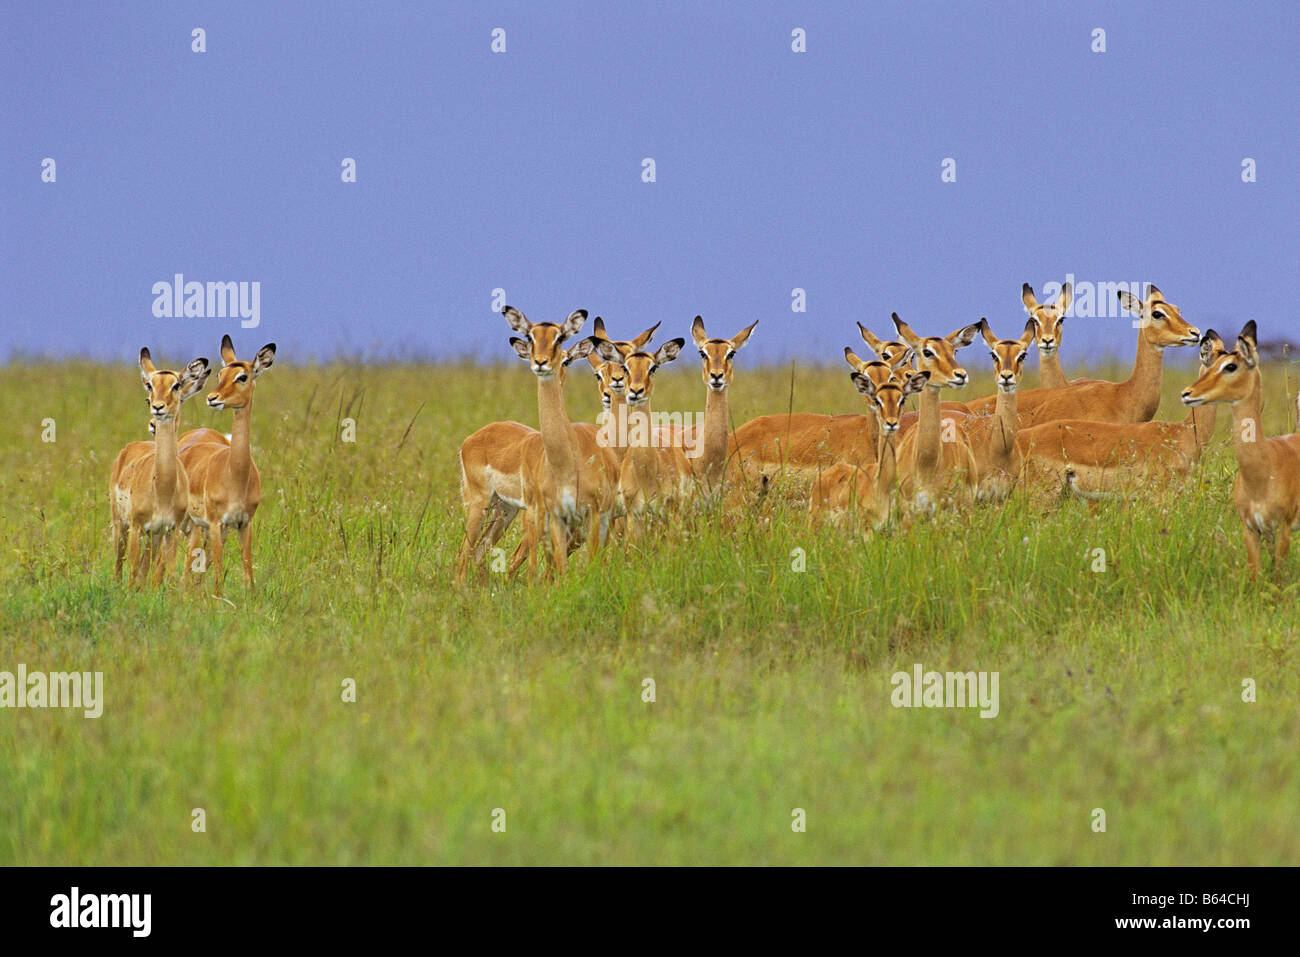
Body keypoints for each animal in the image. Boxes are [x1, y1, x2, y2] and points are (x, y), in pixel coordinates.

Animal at [109, 350, 212, 586]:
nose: (157, 408)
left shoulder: (170, 529)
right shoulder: (137, 526)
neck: (163, 488)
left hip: (154, 534)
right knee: (119, 563)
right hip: (121, 524)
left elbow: (163, 572)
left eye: (176, 385)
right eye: (150, 386)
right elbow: (133, 571)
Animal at [179, 335, 276, 595]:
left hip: (203, 527)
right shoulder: (215, 523)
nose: (212, 398)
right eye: (219, 374)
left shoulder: (244, 523)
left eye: (242, 376)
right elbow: (218, 577)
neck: (235, 476)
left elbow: (247, 574)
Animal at [502, 307, 620, 577]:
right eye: (531, 336)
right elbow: (561, 569)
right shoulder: (558, 517)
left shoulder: (592, 514)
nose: (541, 362)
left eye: (560, 338)